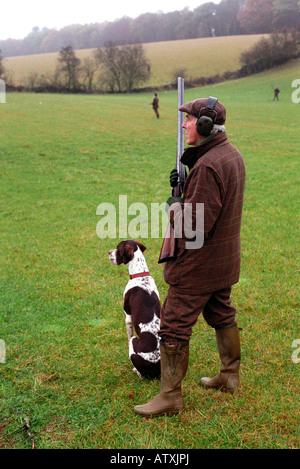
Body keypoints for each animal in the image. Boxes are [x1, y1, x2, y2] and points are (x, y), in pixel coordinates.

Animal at [108, 239, 162, 378]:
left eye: (118, 248)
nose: (109, 252)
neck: (140, 274)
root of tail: (156, 366)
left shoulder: (128, 317)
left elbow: (128, 336)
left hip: (134, 341)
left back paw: (135, 370)